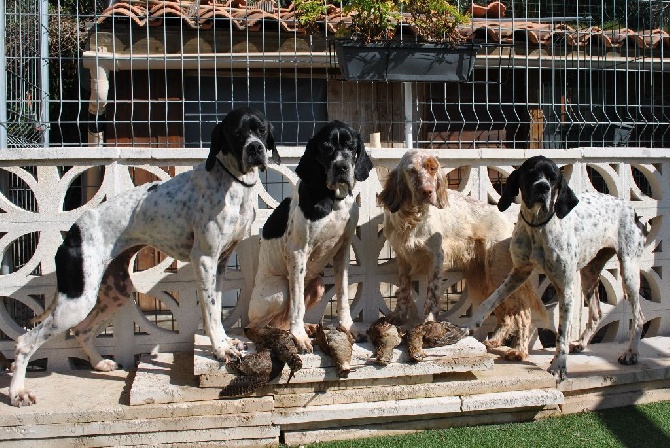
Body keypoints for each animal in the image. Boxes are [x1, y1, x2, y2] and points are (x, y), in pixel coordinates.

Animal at [10, 106, 278, 406]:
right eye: (237, 132)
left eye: (262, 130)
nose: (255, 148)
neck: (232, 183)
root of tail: (74, 232)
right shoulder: (205, 260)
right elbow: (209, 313)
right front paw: (220, 349)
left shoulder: (219, 265)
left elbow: (216, 310)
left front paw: (225, 342)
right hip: (77, 301)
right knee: (24, 343)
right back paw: (17, 392)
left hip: (114, 292)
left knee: (81, 330)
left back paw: (100, 363)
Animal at [247, 121, 376, 352]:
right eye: (326, 147)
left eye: (351, 146)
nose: (342, 167)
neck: (332, 199)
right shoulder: (298, 253)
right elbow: (297, 305)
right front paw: (298, 336)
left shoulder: (342, 252)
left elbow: (343, 295)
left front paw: (347, 327)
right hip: (280, 289)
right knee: (255, 326)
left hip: (318, 286)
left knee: (280, 321)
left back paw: (304, 328)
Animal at [464, 156, 648, 380]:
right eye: (531, 173)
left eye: (553, 178)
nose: (542, 187)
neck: (537, 226)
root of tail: (631, 209)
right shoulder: (517, 273)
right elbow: (490, 301)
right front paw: (471, 323)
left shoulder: (565, 289)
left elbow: (561, 333)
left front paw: (559, 365)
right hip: (589, 274)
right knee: (596, 313)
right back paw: (581, 343)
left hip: (628, 272)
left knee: (638, 317)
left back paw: (631, 353)